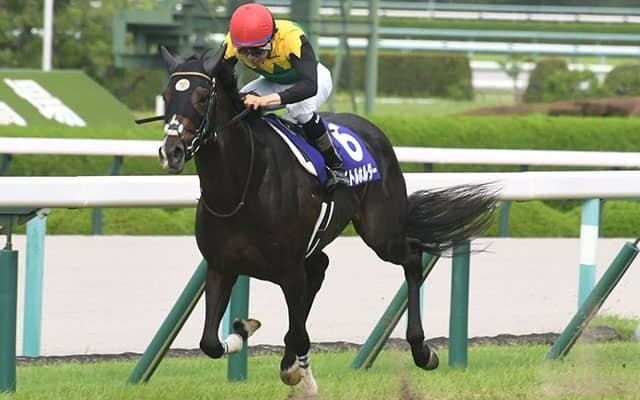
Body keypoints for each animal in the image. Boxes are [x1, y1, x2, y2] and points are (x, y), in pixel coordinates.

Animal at [154, 45, 498, 395]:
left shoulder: (289, 269)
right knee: (319, 270)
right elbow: (210, 342)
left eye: (201, 97)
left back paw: (422, 350)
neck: (242, 186)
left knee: (412, 258)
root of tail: (371, 128)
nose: (172, 151)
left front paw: (300, 376)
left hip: (381, 232)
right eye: (166, 95)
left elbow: (298, 332)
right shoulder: (221, 266)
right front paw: (242, 331)